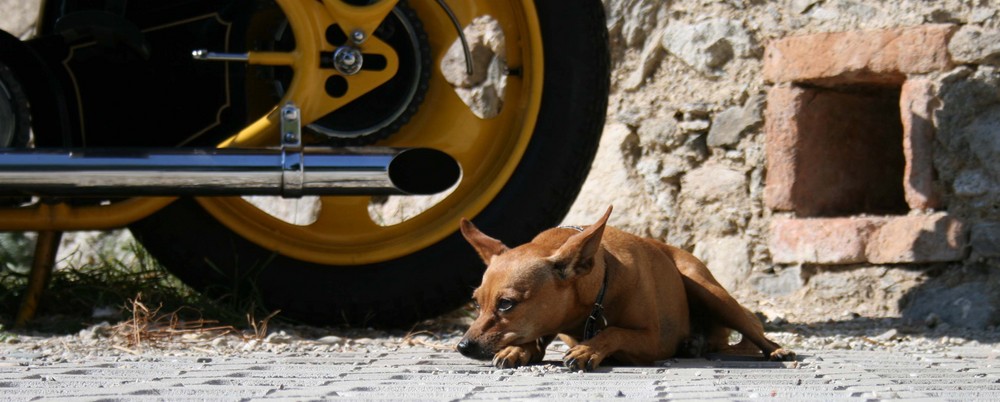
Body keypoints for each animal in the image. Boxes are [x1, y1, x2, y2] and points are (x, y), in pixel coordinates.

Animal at [458, 207, 792, 370]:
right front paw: (516, 349)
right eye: (476, 304)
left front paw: (589, 350)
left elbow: (615, 332)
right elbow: (531, 339)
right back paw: (694, 344)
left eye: (506, 304)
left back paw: (776, 350)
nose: (462, 346)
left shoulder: (654, 340)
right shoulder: (548, 326)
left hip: (711, 292)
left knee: (753, 333)